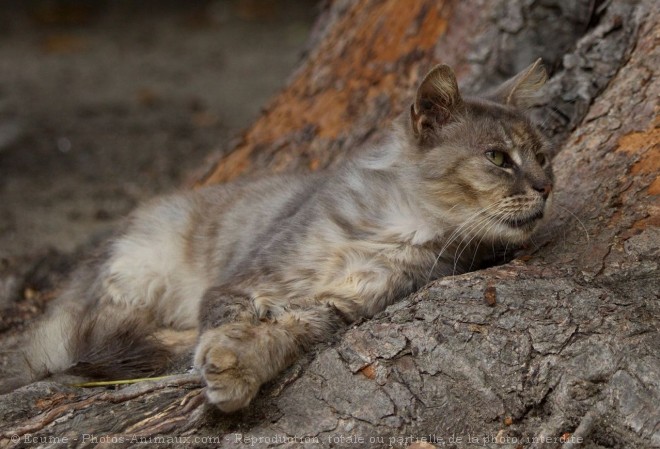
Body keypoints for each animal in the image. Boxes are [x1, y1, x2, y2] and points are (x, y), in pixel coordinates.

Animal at [3, 60, 552, 412]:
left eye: (542, 155)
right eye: (497, 158)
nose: (547, 186)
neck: (395, 224)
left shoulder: (337, 305)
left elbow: (277, 337)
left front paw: (239, 366)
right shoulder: (243, 282)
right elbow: (228, 318)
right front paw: (223, 351)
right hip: (136, 270)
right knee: (104, 329)